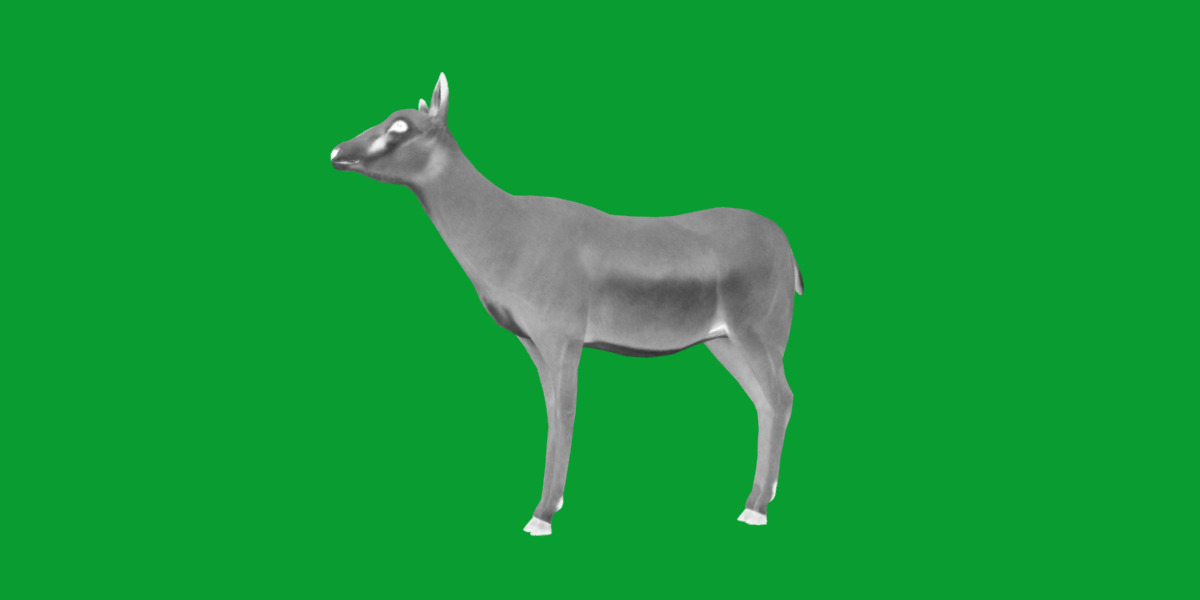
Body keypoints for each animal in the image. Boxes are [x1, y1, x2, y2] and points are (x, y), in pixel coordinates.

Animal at [331, 73, 804, 536]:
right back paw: (755, 500)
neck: (507, 231)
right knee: (764, 403)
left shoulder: (563, 340)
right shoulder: (533, 343)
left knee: (781, 398)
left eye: (400, 127)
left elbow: (565, 412)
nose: (338, 152)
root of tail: (787, 249)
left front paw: (541, 515)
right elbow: (550, 413)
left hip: (757, 336)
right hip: (723, 342)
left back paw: (757, 509)